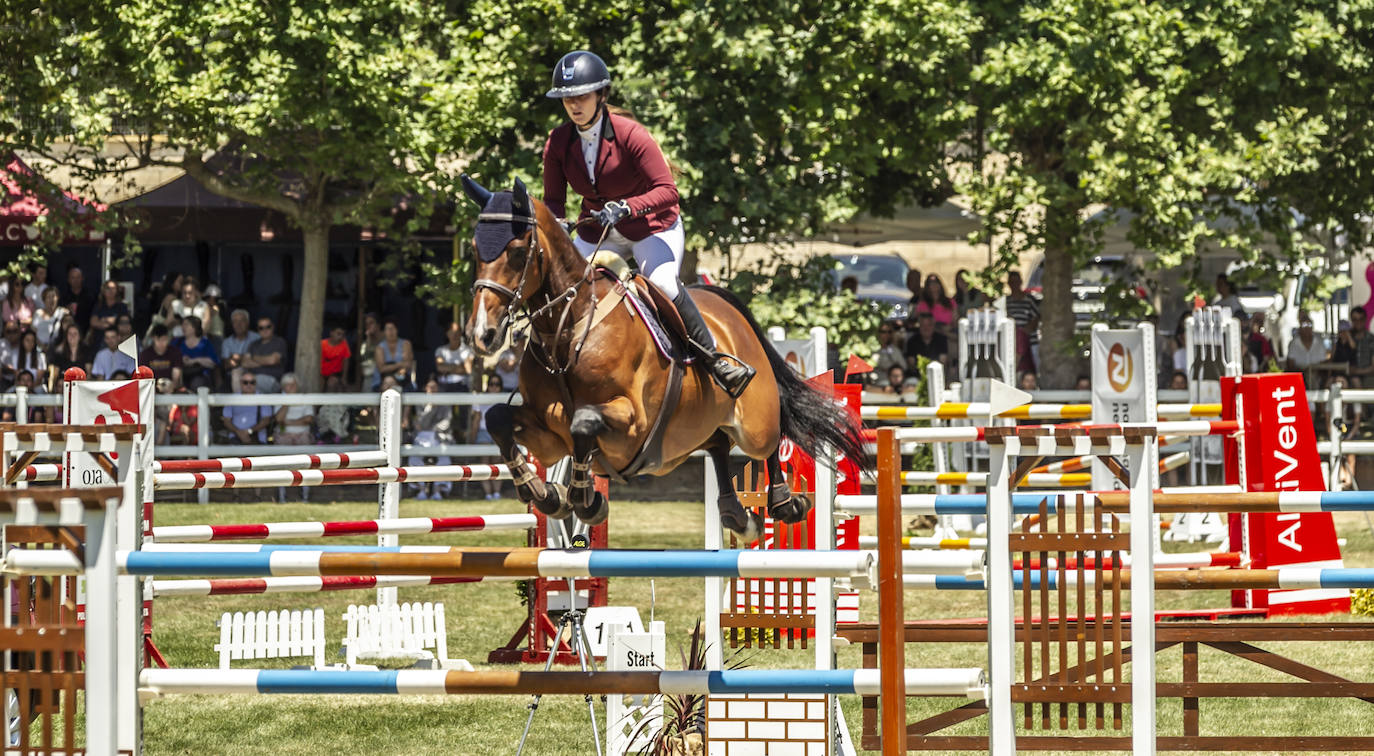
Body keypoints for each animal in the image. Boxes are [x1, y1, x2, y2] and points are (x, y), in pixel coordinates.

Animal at [461, 174, 868, 541]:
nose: (481, 333)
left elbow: (584, 421)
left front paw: (583, 499)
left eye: (517, 251)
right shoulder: (548, 432)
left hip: (754, 422)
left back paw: (785, 502)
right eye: (474, 251)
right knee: (718, 447)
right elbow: (498, 418)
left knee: (773, 434)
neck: (569, 328)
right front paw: (544, 493)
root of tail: (722, 302)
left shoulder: (632, 422)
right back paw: (737, 517)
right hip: (699, 425)